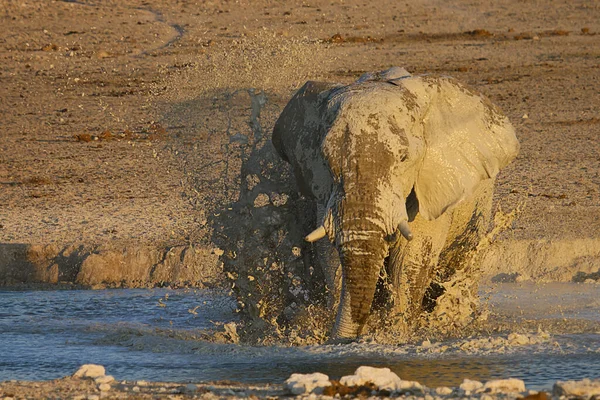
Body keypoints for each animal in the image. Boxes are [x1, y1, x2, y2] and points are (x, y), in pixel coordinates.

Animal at [272, 66, 520, 340]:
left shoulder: (424, 187)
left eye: (404, 159)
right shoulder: (325, 192)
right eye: (327, 159)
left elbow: (411, 259)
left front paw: (397, 334)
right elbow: (330, 256)